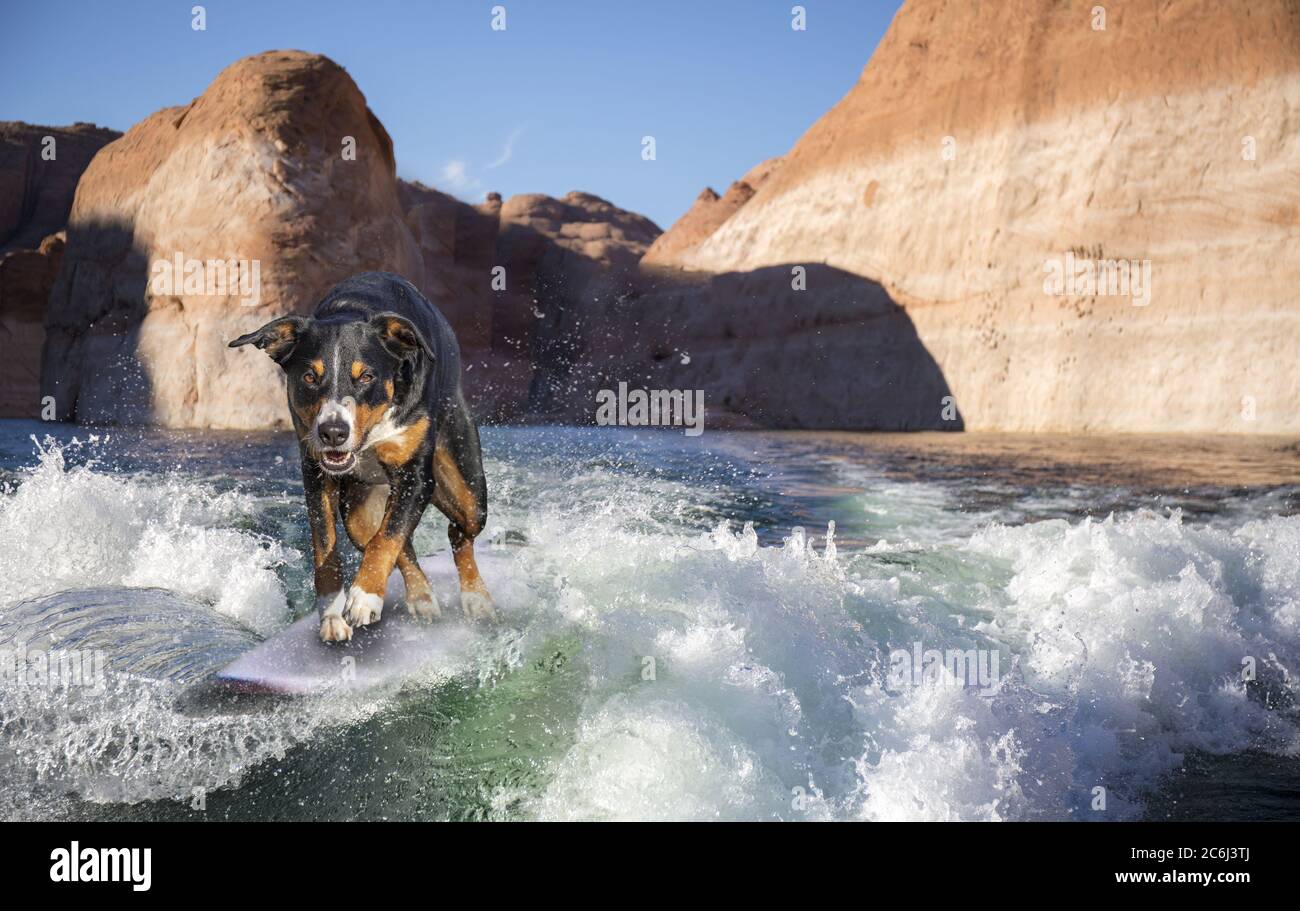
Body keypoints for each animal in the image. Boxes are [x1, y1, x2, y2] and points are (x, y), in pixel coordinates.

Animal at [228, 270, 491, 639]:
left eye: (366, 376)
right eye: (309, 377)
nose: (333, 431)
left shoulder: (415, 476)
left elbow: (389, 537)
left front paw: (365, 598)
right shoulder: (316, 473)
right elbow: (330, 544)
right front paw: (331, 613)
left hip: (467, 488)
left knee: (458, 531)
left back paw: (476, 599)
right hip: (358, 510)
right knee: (399, 543)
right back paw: (422, 598)